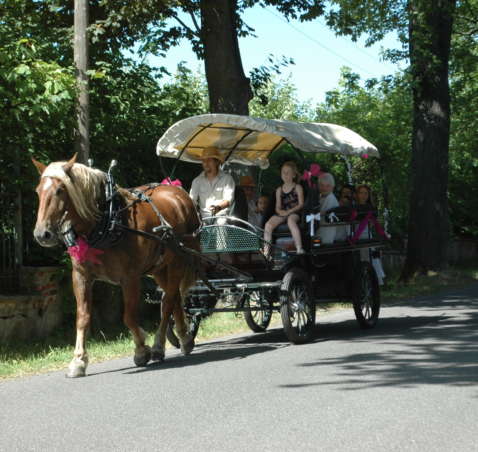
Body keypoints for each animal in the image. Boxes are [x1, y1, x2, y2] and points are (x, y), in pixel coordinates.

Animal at [31, 155, 200, 378]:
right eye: (38, 191)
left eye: (60, 190)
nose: (42, 234)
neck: (108, 220)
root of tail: (178, 192)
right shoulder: (81, 276)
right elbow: (82, 318)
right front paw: (78, 361)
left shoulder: (130, 278)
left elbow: (129, 317)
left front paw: (141, 349)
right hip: (159, 268)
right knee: (174, 299)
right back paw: (184, 338)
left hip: (177, 262)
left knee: (167, 303)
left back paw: (158, 345)